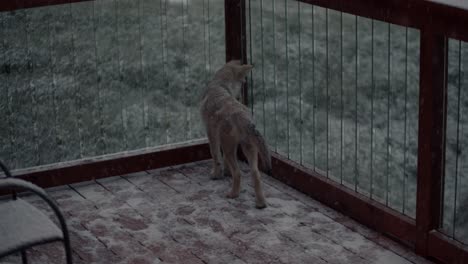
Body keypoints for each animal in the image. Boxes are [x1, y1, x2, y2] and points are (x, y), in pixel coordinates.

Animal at [200, 59, 272, 208]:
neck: (220, 84)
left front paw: (216, 174)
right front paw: (226, 173)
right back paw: (261, 203)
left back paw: (233, 194)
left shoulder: (211, 133)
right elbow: (224, 163)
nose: (239, 97)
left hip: (230, 148)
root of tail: (242, 117)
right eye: (243, 83)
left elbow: (215, 156)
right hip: (247, 149)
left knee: (238, 173)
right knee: (256, 174)